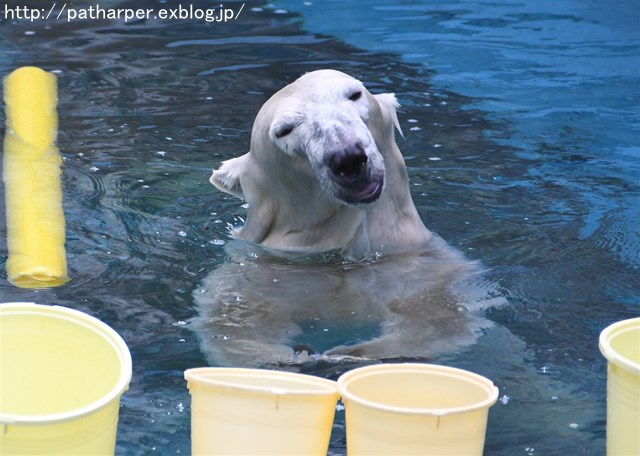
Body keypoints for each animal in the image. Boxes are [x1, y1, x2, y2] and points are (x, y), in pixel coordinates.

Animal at [192, 70, 502, 366]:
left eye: (355, 94)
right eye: (284, 130)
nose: (347, 157)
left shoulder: (423, 270)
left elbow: (438, 315)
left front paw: (349, 354)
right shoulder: (256, 278)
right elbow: (236, 322)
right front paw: (293, 359)